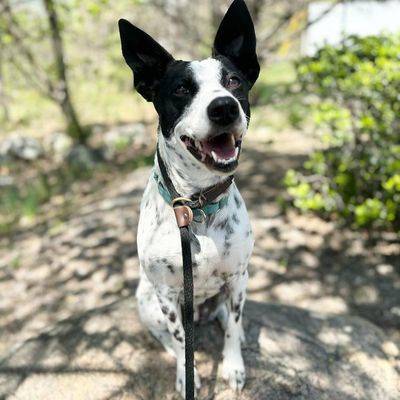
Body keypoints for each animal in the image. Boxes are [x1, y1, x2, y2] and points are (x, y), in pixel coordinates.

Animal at [118, 0, 260, 396]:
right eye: (182, 89)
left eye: (233, 81)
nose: (224, 107)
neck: (197, 204)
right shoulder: (167, 295)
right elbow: (182, 341)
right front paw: (187, 375)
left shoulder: (237, 276)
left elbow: (232, 327)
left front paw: (233, 366)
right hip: (146, 301)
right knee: (168, 338)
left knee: (227, 316)